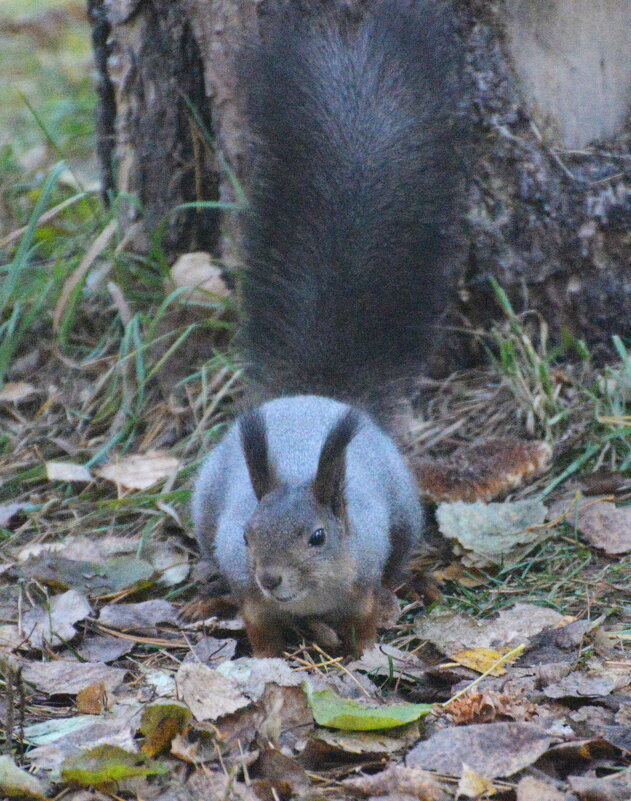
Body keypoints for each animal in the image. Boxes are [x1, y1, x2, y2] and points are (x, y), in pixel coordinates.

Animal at [190, 0, 466, 656]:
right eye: (247, 534)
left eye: (317, 537)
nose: (271, 577)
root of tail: (313, 395)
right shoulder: (255, 599)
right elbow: (259, 626)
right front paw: (265, 661)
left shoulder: (359, 578)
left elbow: (363, 620)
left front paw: (363, 654)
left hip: (405, 514)